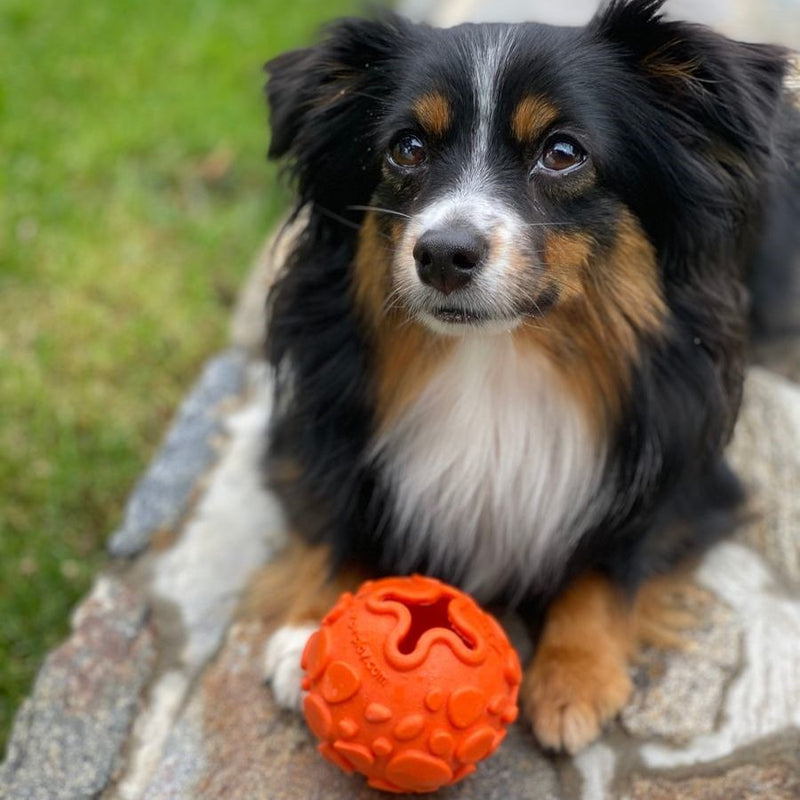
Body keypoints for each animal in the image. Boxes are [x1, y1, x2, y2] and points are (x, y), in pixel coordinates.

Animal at [252, 0, 800, 756]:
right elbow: (334, 505)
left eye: (563, 153)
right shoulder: (305, 429)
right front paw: (310, 626)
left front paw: (573, 678)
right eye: (406, 148)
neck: (498, 355)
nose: (442, 255)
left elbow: (611, 559)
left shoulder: (688, 464)